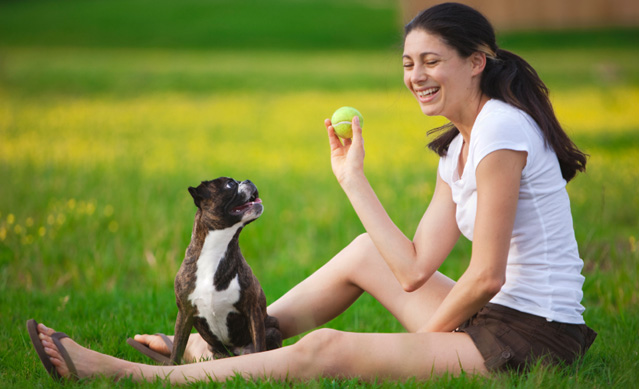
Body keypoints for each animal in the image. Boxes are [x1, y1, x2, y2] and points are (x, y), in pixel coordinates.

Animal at [169, 177, 282, 362]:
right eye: (230, 184)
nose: (248, 180)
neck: (217, 250)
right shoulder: (184, 313)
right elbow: (176, 349)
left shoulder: (253, 310)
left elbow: (260, 346)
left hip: (272, 331)